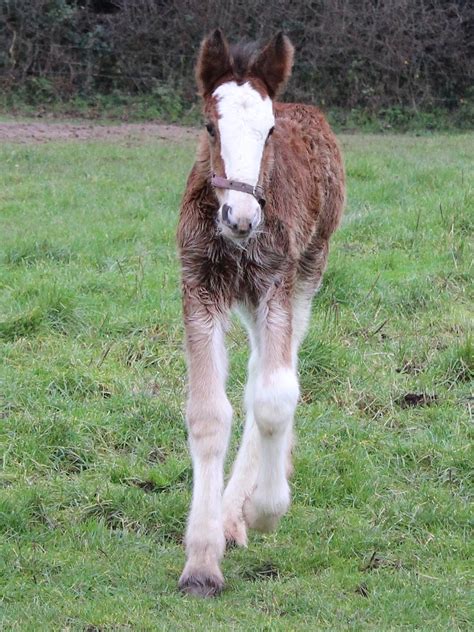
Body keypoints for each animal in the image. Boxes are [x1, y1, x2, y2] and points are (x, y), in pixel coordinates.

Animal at [177, 29, 344, 596]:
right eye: (210, 126)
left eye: (269, 130)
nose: (242, 217)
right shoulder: (200, 288)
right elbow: (209, 413)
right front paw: (201, 562)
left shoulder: (276, 283)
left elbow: (275, 397)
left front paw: (267, 509)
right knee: (255, 372)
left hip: (307, 272)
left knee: (280, 372)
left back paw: (244, 507)